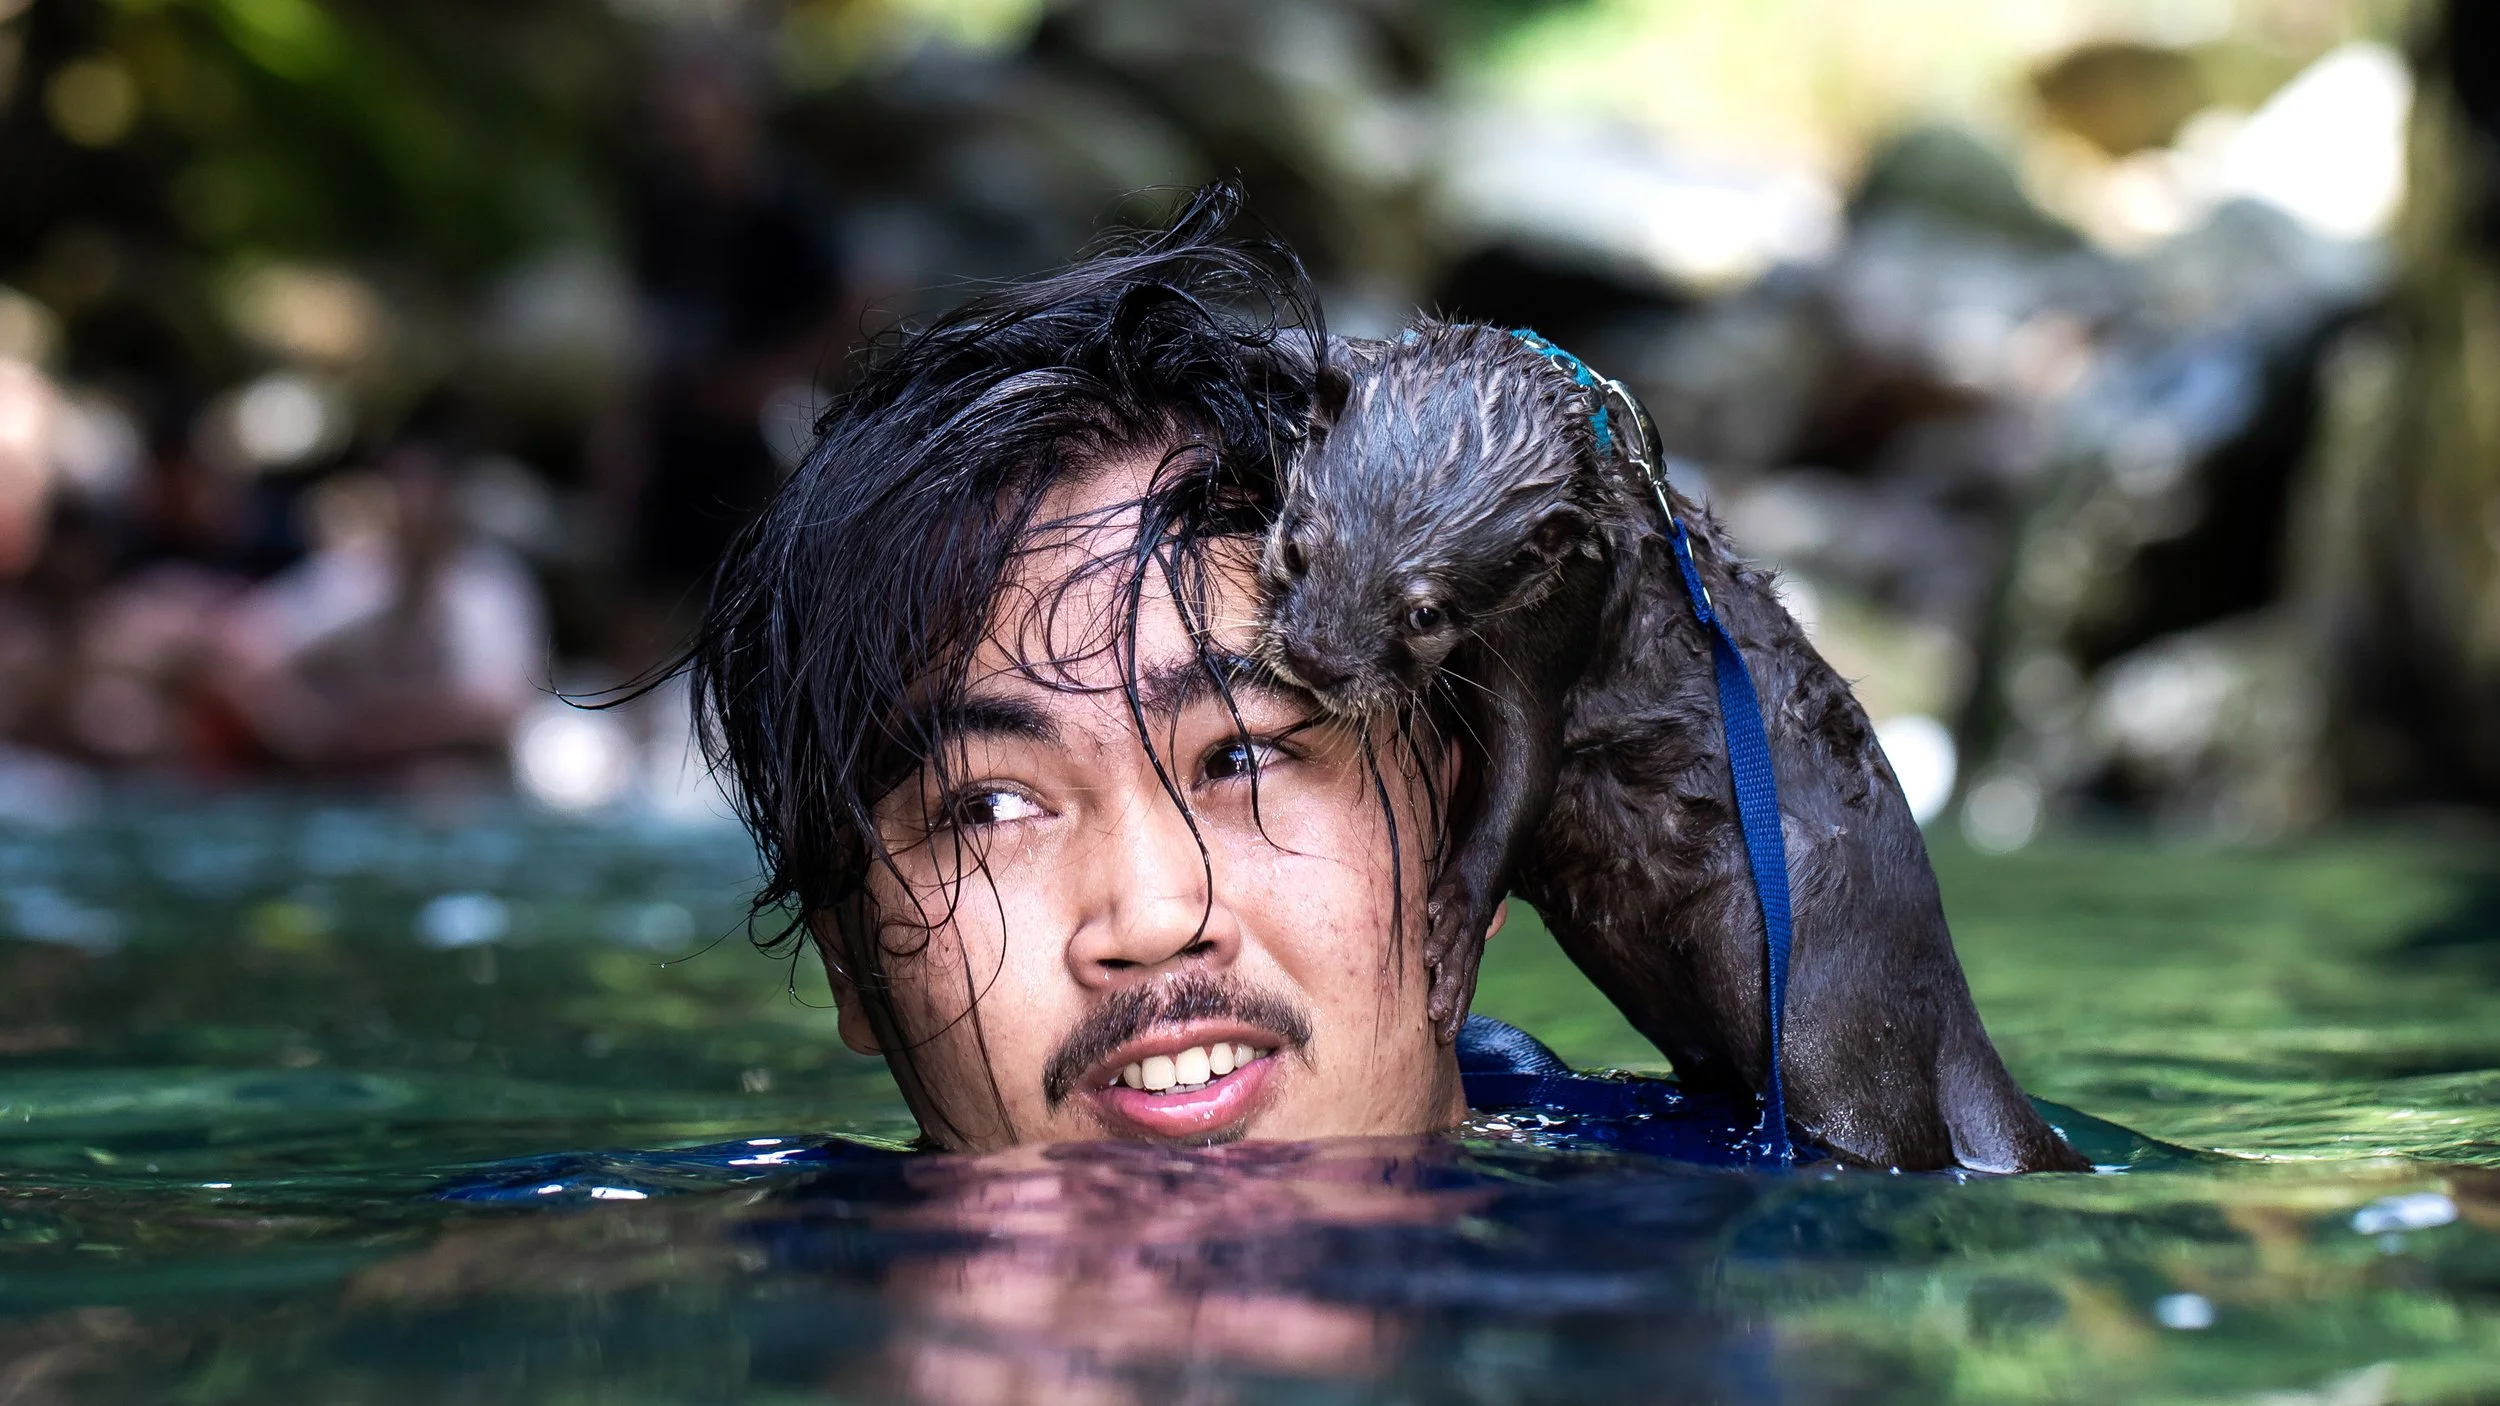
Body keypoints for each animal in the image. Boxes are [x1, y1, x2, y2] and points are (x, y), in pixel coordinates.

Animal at [1260, 321, 2087, 1173]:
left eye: (1426, 612)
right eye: (1297, 550)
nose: (1319, 659)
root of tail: (1952, 1014)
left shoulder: (1557, 612)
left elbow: (1524, 767)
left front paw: (1456, 927)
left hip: (1826, 1019)